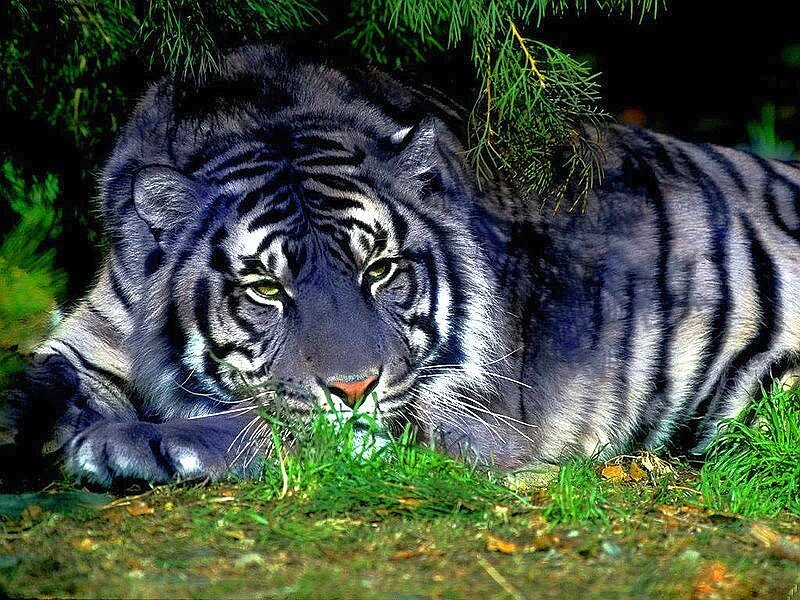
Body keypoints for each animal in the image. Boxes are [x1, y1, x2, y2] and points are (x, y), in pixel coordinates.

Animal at [4, 45, 799, 487]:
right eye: (264, 287)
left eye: (381, 270)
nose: (355, 387)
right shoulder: (86, 340)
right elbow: (33, 386)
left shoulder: (459, 412)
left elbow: (272, 428)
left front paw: (126, 445)